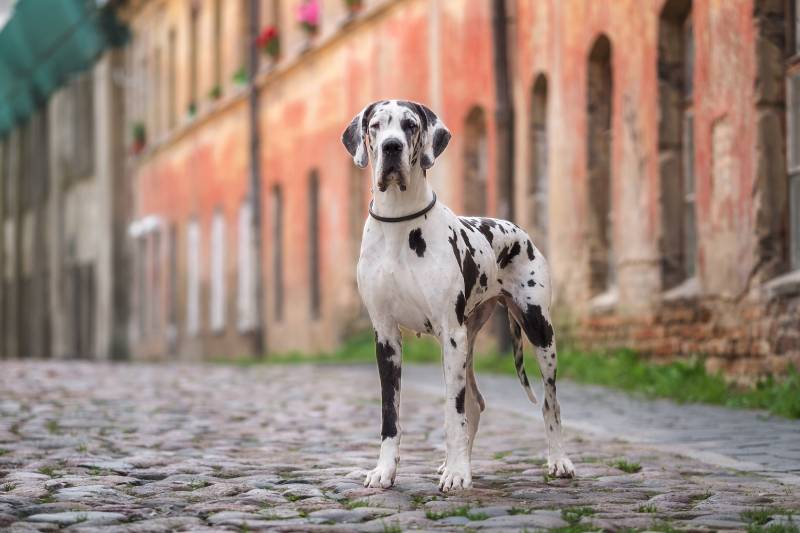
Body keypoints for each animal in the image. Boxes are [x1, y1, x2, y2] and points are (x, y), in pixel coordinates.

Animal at [340, 98, 572, 490]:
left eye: (410, 125)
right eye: (375, 126)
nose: (391, 147)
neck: (399, 224)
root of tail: (518, 230)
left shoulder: (451, 334)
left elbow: (453, 412)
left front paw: (459, 473)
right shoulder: (385, 336)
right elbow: (390, 415)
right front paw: (385, 471)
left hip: (538, 331)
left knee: (548, 402)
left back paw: (558, 461)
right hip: (469, 343)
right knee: (476, 403)